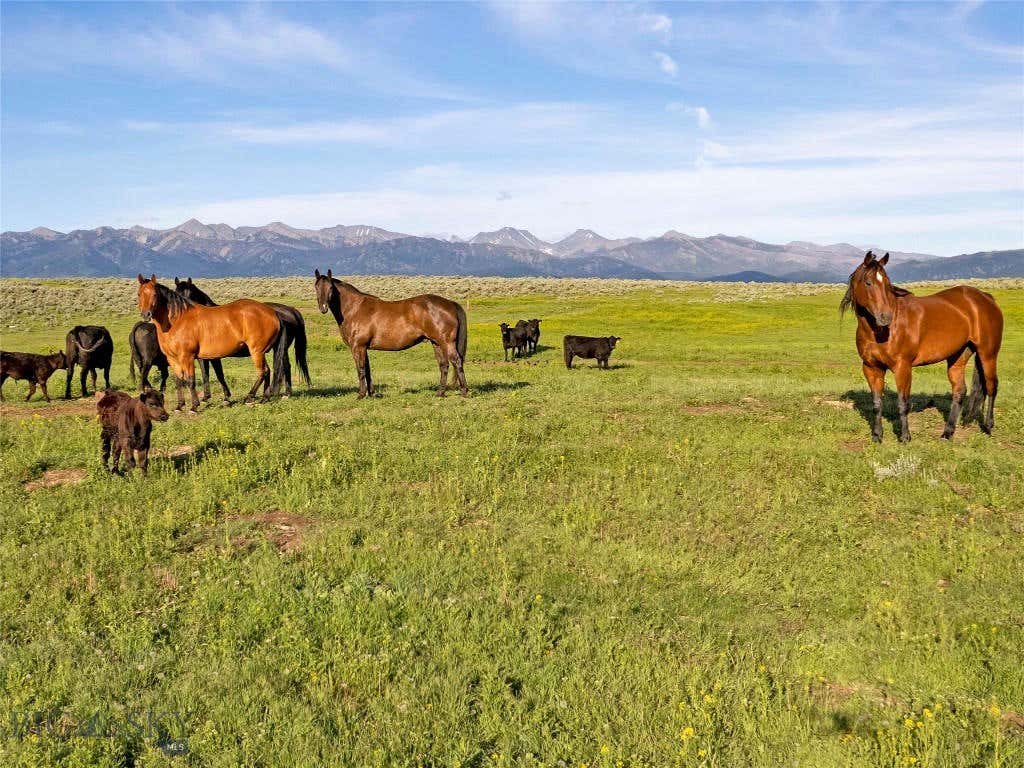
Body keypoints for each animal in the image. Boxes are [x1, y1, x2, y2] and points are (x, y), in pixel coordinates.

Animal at [136, 274, 288, 411]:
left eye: (155, 294)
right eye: (139, 294)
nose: (146, 314)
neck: (177, 320)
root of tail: (272, 312)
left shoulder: (188, 357)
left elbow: (191, 380)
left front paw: (194, 406)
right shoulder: (173, 358)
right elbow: (179, 380)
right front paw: (179, 406)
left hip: (256, 351)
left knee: (262, 372)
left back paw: (249, 397)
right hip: (261, 352)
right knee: (268, 371)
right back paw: (264, 398)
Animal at [174, 276, 309, 397]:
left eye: (190, 294)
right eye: (177, 293)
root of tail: (290, 310)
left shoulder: (211, 356)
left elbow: (217, 374)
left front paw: (224, 397)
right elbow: (207, 374)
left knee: (282, 367)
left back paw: (281, 393)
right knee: (283, 366)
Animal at [313, 268, 468, 399]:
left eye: (331, 288)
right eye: (316, 287)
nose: (323, 307)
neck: (354, 309)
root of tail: (450, 303)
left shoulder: (358, 347)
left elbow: (361, 369)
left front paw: (361, 395)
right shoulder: (364, 348)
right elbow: (368, 370)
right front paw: (371, 393)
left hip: (446, 342)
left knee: (457, 361)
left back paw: (464, 392)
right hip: (436, 343)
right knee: (444, 365)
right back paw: (440, 393)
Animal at [843, 252, 1003, 444]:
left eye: (887, 284)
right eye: (868, 282)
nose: (885, 317)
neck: (879, 332)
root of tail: (986, 298)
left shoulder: (902, 367)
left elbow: (903, 403)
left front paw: (905, 437)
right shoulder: (871, 368)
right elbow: (876, 403)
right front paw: (877, 436)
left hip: (988, 354)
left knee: (991, 386)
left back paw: (988, 426)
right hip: (958, 356)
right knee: (960, 391)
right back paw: (947, 433)